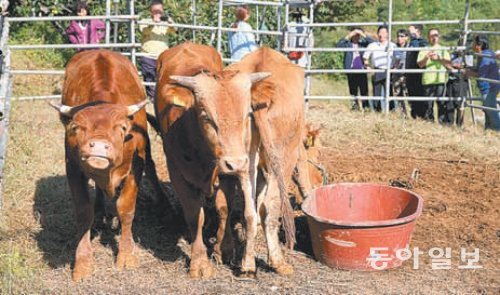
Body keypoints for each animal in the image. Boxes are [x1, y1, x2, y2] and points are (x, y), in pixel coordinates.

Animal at [50, 49, 161, 284]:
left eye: (122, 127)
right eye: (76, 127)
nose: (99, 145)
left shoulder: (135, 168)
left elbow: (126, 209)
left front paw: (126, 255)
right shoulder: (72, 168)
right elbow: (83, 212)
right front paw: (83, 263)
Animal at [154, 42, 270, 280]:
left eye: (247, 115)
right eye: (206, 116)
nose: (237, 163)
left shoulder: (227, 171)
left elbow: (224, 207)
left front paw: (223, 249)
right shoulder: (177, 173)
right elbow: (193, 216)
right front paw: (199, 262)